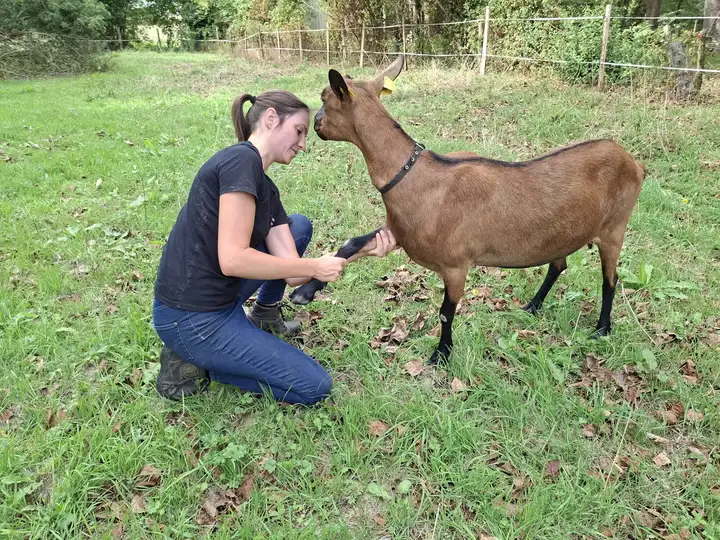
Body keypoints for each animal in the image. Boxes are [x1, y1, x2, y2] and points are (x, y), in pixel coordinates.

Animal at [291, 55, 646, 365]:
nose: (316, 125)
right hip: (564, 233)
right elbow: (351, 244)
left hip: (615, 227)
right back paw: (532, 306)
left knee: (610, 279)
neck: (416, 178)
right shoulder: (399, 232)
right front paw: (306, 291)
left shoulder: (456, 263)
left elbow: (446, 312)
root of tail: (634, 162)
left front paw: (441, 354)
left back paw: (602, 328)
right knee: (558, 264)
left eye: (324, 98)